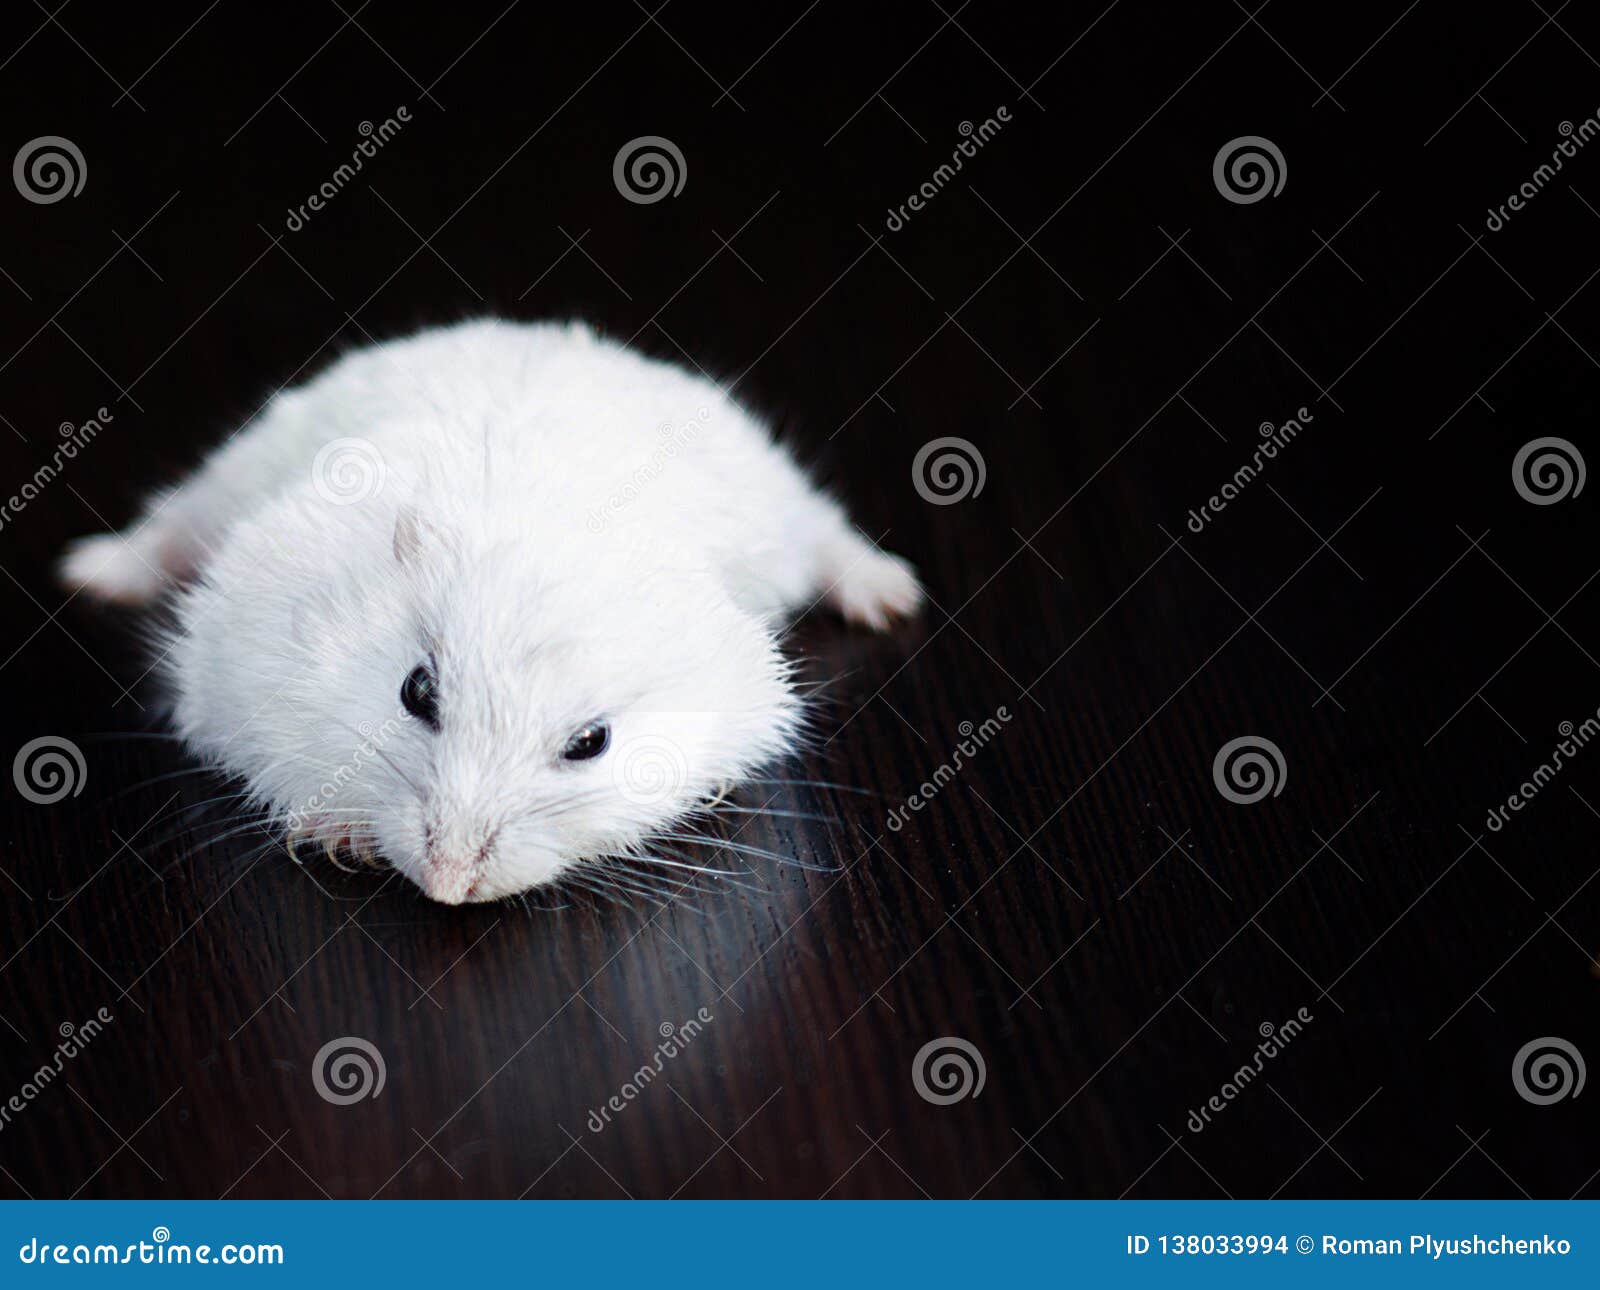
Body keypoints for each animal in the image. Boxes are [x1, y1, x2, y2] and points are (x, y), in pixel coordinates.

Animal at [62, 318, 921, 902]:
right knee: (168, 524)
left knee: (828, 532)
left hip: (778, 499)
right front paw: (343, 841)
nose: (446, 889)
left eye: (591, 743)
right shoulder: (232, 666)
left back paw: (893, 596)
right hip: (232, 470)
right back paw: (93, 571)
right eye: (415, 692)